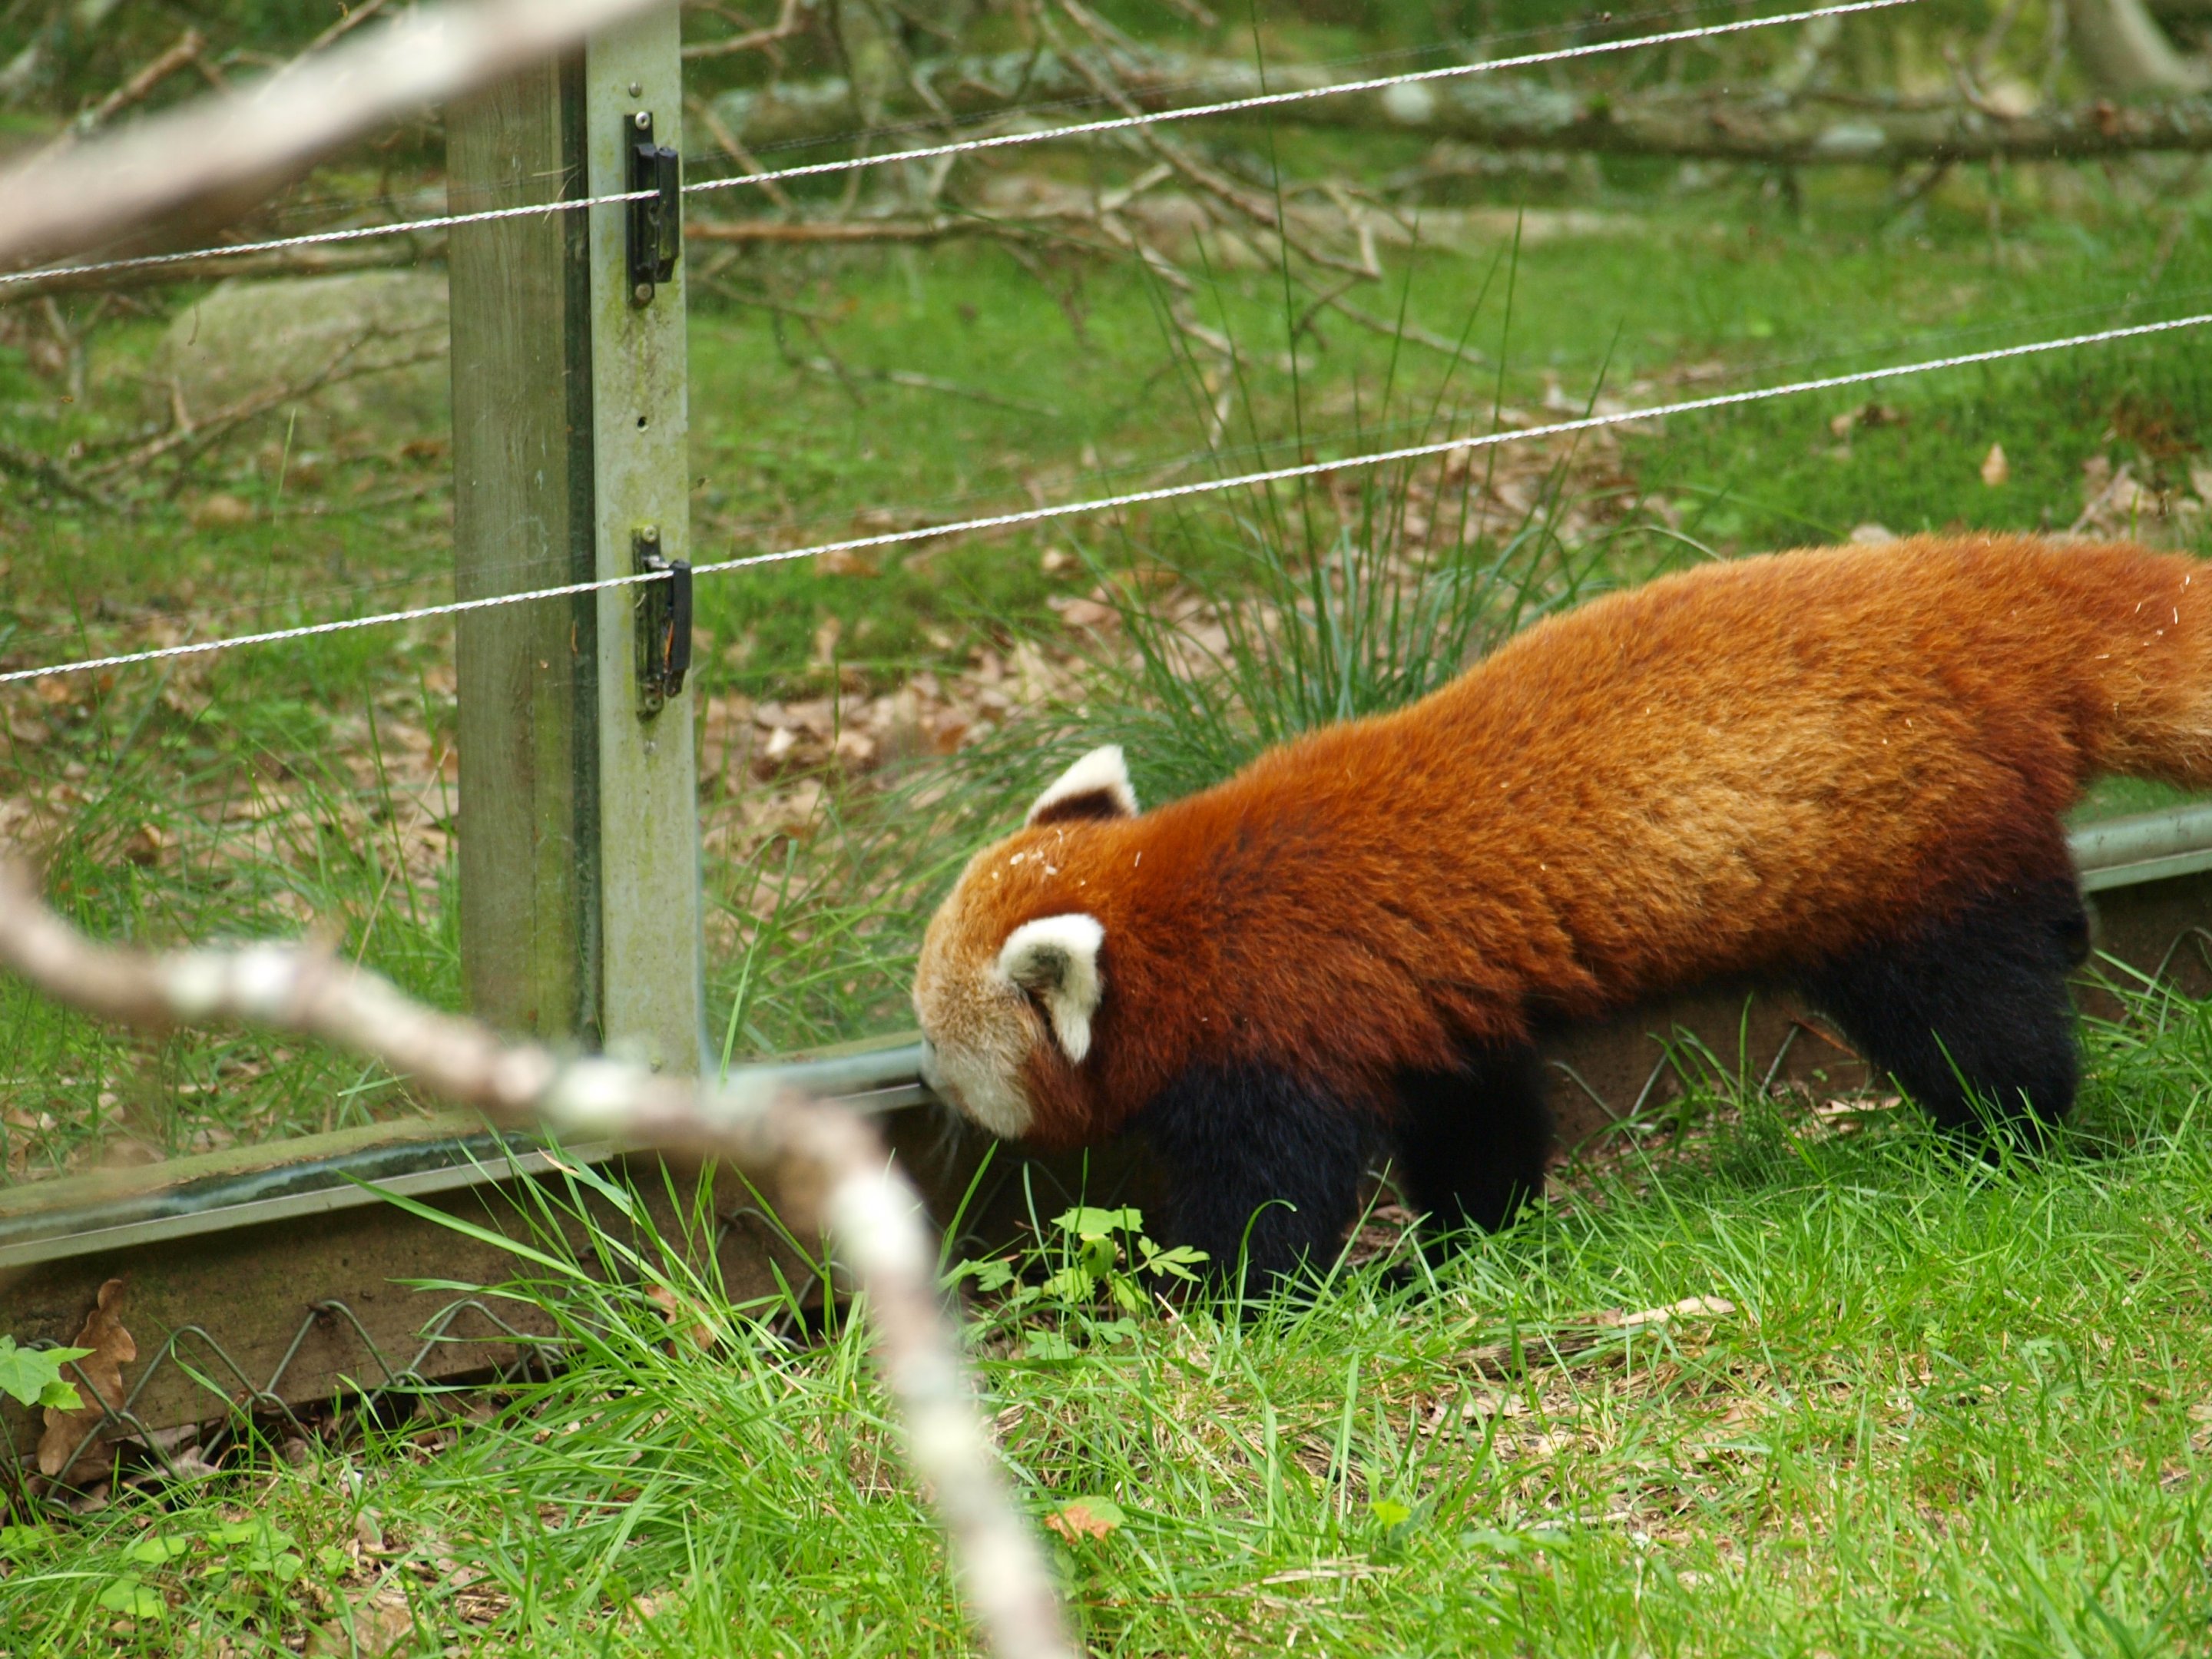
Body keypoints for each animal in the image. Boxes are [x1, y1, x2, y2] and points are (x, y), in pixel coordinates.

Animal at [914, 535, 2212, 1289]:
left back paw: (2005, 1141)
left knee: (1976, 1022)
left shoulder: (1281, 1032)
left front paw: (1224, 1303)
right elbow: (1477, 1129)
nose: (924, 1087)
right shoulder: (1427, 1017)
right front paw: (1463, 1248)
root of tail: (1971, 589)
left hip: (1906, 855)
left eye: (932, 1044)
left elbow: (1273, 1201)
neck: (1175, 914)